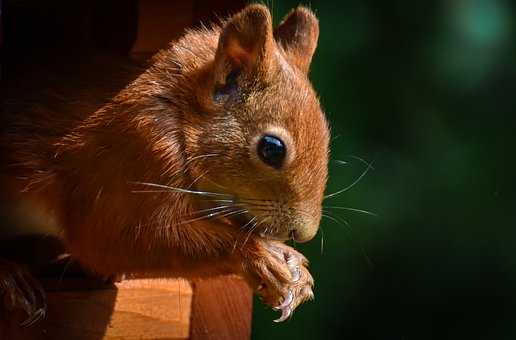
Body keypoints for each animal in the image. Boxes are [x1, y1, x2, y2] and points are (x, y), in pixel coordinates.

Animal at [0, 4, 330, 324]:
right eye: (272, 149)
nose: (302, 233)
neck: (179, 113)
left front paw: (292, 265)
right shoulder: (126, 159)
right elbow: (114, 241)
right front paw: (265, 257)